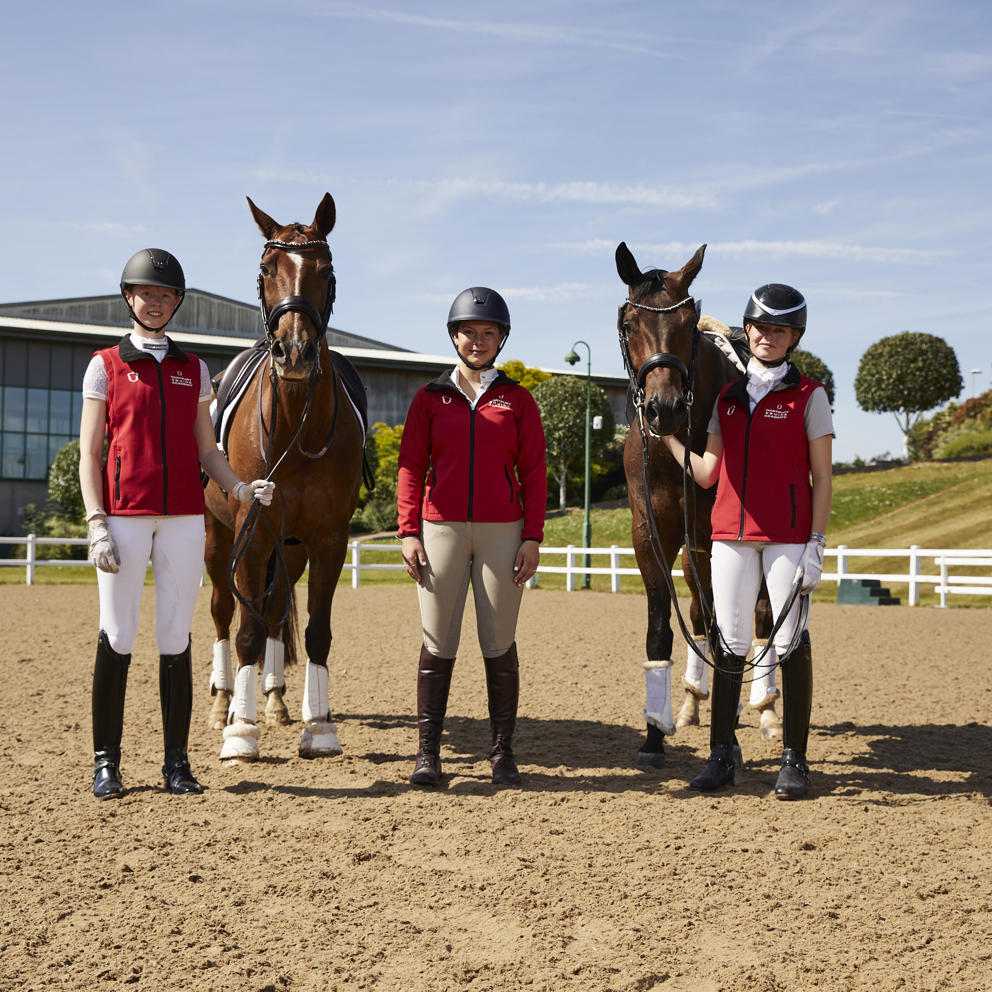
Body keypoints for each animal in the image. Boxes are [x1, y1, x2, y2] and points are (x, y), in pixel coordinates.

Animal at [203, 198, 366, 764]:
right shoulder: (251, 533)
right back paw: (224, 702)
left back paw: (273, 699)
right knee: (224, 612)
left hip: (289, 548)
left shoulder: (327, 538)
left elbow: (315, 631)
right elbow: (246, 631)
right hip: (219, 540)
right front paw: (240, 732)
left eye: (328, 271)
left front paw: (319, 727)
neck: (296, 426)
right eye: (265, 269)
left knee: (274, 610)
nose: (294, 352)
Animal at [612, 240, 776, 768]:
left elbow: (733, 629)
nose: (663, 408)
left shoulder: (714, 539)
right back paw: (692, 704)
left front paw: (729, 743)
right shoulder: (652, 537)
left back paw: (765, 709)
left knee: (760, 617)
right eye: (629, 323)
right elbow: (662, 631)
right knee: (704, 619)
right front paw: (653, 736)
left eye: (688, 322)